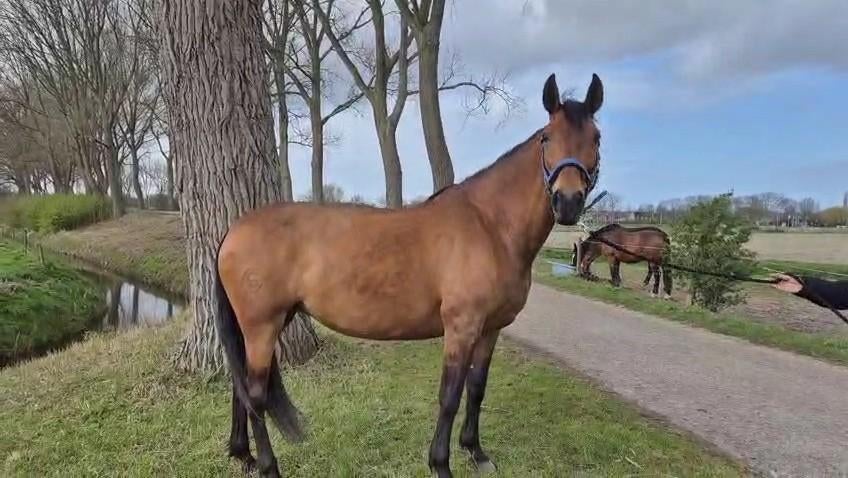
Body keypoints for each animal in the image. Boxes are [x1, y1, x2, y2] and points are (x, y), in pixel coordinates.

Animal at [214, 72, 604, 478]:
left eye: (596, 138)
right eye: (547, 137)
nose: (568, 201)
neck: (490, 225)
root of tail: (234, 229)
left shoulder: (491, 328)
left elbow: (477, 388)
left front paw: (476, 452)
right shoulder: (461, 327)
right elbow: (450, 396)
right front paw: (441, 464)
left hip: (268, 323)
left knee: (241, 386)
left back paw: (243, 455)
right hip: (262, 325)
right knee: (255, 394)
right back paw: (268, 466)